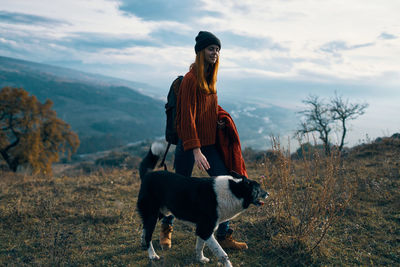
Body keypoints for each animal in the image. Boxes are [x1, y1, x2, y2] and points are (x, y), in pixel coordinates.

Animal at [138, 144, 268, 267]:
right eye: (258, 189)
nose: (268, 193)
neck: (233, 191)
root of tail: (147, 175)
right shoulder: (205, 229)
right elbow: (222, 253)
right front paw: (228, 265)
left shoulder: (202, 229)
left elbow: (200, 246)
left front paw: (200, 259)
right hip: (153, 214)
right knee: (148, 234)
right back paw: (152, 255)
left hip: (160, 212)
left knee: (145, 228)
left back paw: (143, 243)